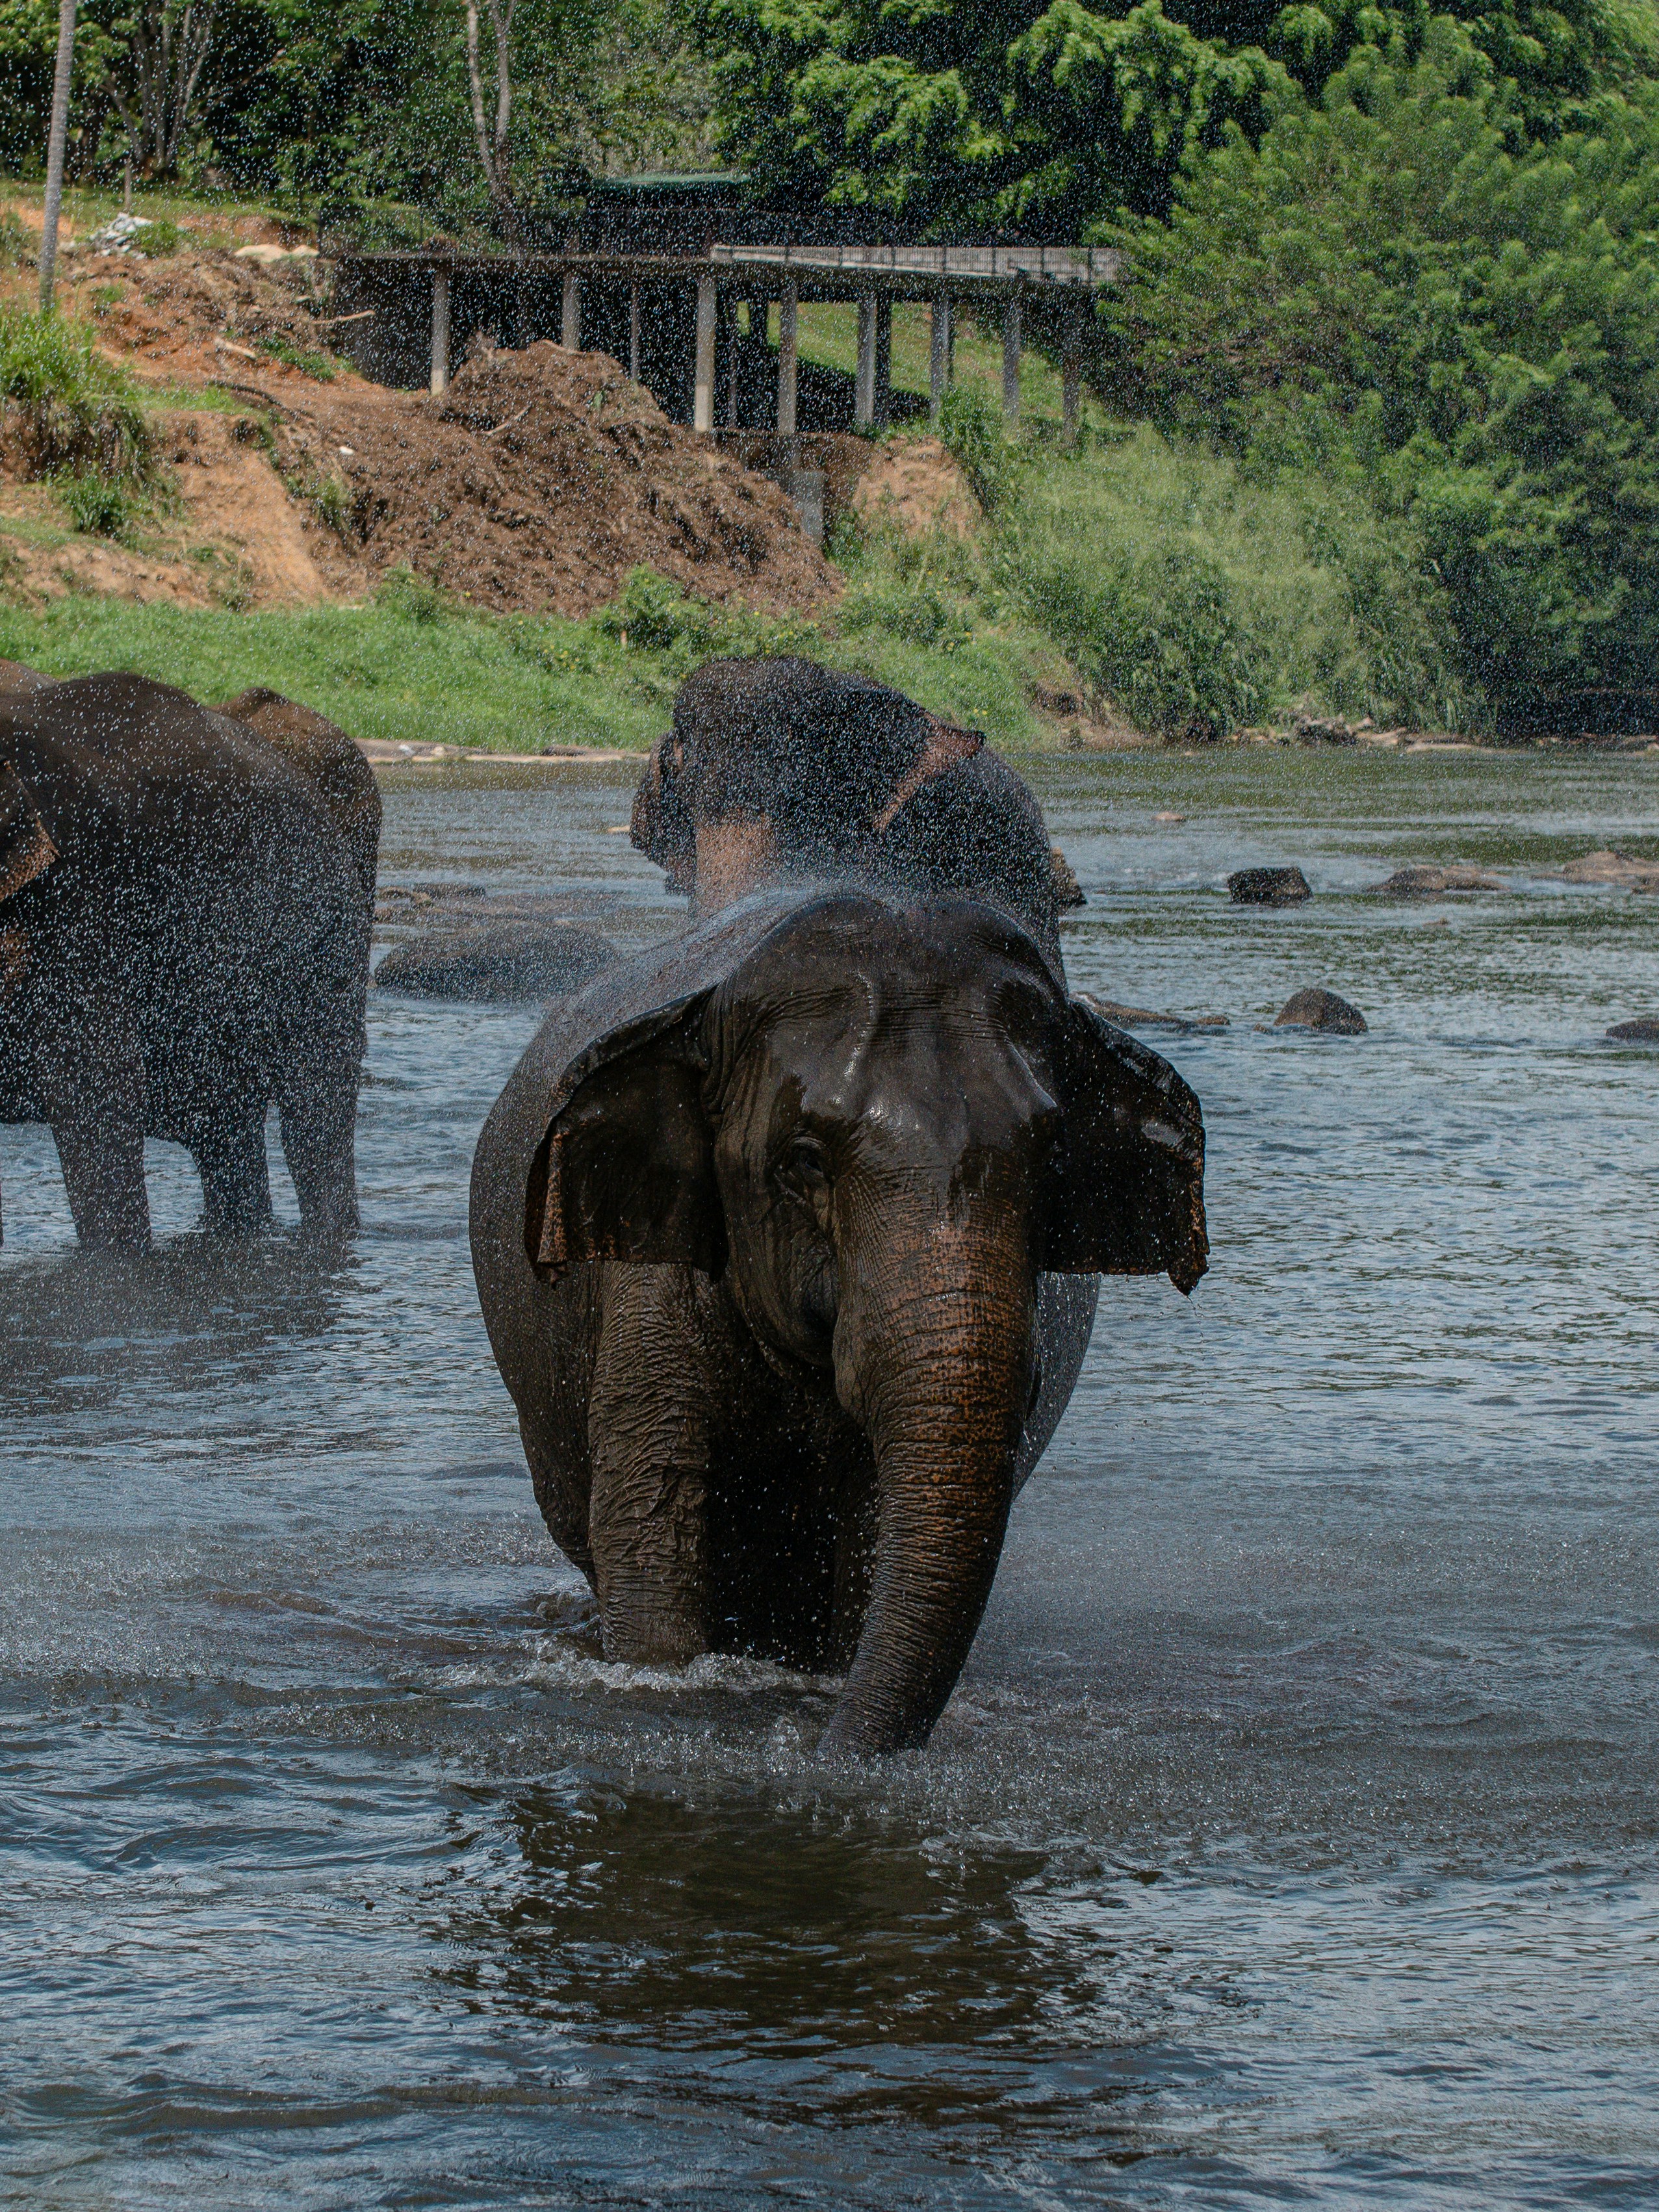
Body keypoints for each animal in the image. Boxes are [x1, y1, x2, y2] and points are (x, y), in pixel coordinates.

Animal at [470, 881, 1206, 1757]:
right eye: (803, 1161)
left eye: (1050, 1157)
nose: (819, 1756)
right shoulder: (648, 1282)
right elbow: (648, 1512)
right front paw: (666, 1684)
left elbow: (873, 1522)